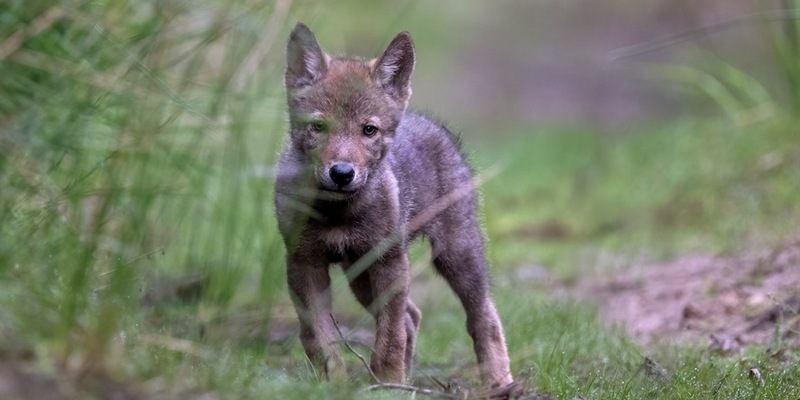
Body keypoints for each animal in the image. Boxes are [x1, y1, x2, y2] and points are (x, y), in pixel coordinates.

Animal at [274, 22, 513, 387]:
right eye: (318, 127)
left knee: (483, 315)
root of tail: (433, 124)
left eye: (369, 130)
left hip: (456, 255)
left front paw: (387, 380)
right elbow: (320, 338)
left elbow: (389, 337)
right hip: (360, 275)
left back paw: (498, 381)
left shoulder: (389, 262)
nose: (341, 173)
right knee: (412, 316)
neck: (337, 211)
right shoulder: (304, 264)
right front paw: (334, 384)